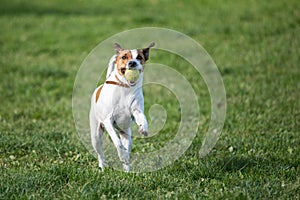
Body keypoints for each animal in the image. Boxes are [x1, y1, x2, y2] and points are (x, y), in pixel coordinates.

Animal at [89, 42, 155, 172]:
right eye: (124, 57)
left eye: (139, 57)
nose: (132, 63)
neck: (125, 87)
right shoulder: (108, 120)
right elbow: (116, 141)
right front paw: (121, 153)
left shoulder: (136, 110)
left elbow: (142, 117)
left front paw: (144, 128)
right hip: (96, 136)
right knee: (100, 154)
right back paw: (102, 168)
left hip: (126, 135)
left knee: (127, 149)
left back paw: (127, 170)